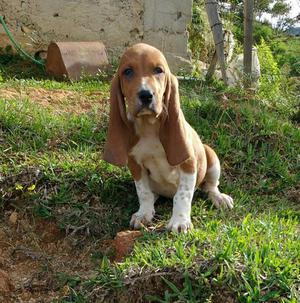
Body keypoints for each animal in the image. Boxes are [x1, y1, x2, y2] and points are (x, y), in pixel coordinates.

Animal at [103, 43, 232, 233]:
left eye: (158, 70)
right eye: (127, 72)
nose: (146, 95)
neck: (149, 128)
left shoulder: (188, 163)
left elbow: (183, 194)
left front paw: (180, 221)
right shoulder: (135, 165)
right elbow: (144, 192)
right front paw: (143, 214)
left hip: (211, 157)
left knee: (210, 186)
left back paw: (220, 198)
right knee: (153, 193)